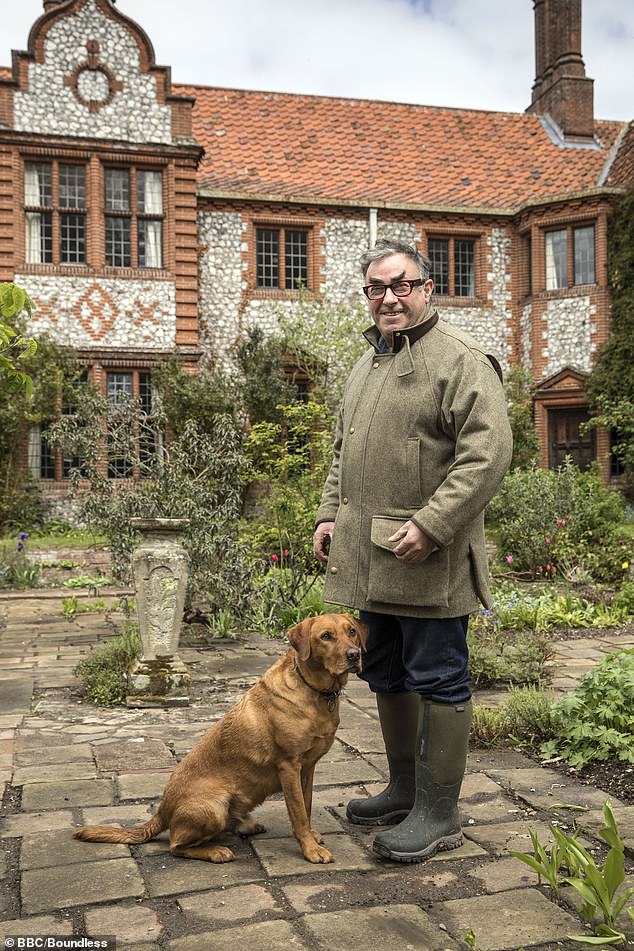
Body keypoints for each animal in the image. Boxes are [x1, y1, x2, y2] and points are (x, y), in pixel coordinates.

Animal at [73, 612, 366, 868]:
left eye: (352, 632)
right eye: (326, 636)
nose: (355, 655)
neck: (314, 690)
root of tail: (162, 811)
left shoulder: (308, 767)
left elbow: (306, 805)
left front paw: (312, 836)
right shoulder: (289, 766)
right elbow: (298, 814)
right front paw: (310, 849)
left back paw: (245, 826)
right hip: (214, 805)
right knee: (176, 846)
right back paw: (215, 851)